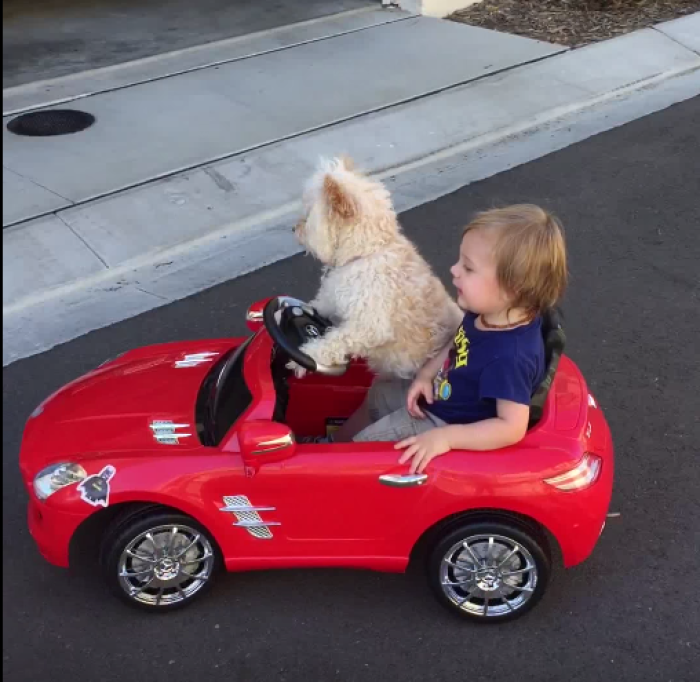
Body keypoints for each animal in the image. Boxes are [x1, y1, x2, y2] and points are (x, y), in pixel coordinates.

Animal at [292, 157, 462, 378]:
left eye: (308, 214)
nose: (293, 228)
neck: (365, 253)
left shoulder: (370, 326)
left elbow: (335, 341)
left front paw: (305, 356)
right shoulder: (332, 299)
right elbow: (316, 307)